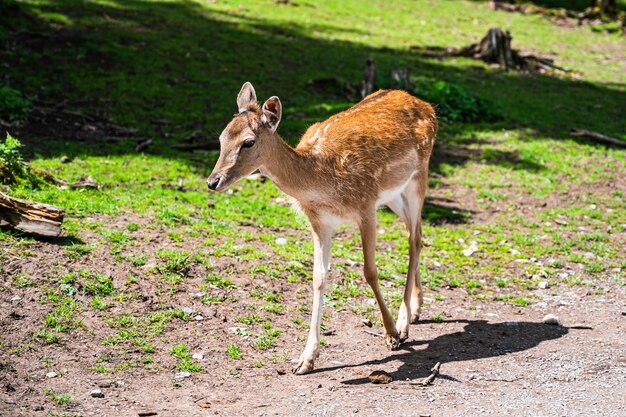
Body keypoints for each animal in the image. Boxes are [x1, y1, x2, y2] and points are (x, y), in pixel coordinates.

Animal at [207, 82, 436, 374]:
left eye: (248, 141)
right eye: (222, 137)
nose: (213, 181)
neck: (322, 182)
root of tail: (425, 105)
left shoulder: (366, 205)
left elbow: (370, 271)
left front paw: (391, 334)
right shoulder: (320, 222)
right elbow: (318, 279)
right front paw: (306, 359)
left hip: (420, 174)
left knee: (414, 239)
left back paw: (403, 323)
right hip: (393, 195)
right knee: (414, 232)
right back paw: (416, 309)